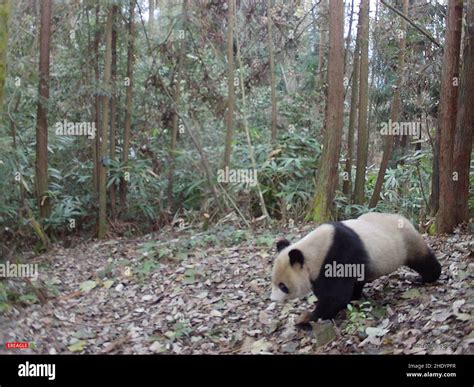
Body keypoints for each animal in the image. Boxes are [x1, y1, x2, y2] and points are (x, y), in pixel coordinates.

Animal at [268, 214, 442, 326]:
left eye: (283, 286)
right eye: (273, 282)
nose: (273, 299)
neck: (314, 251)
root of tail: (405, 219)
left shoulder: (337, 255)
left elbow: (335, 296)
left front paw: (305, 318)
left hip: (406, 243)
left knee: (423, 260)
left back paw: (425, 277)